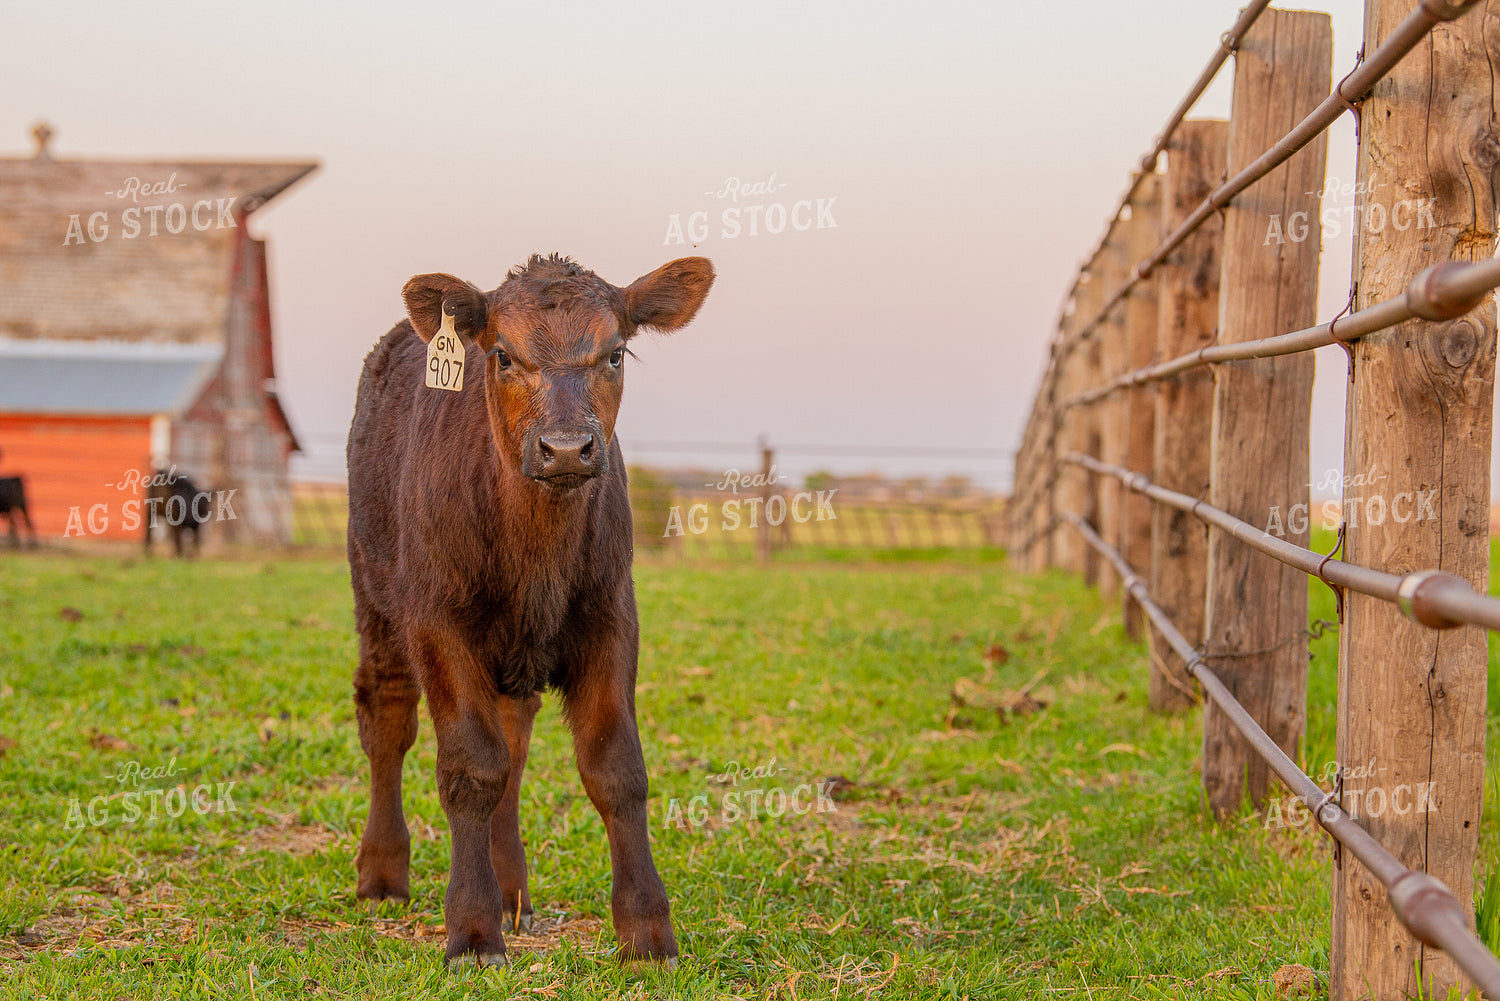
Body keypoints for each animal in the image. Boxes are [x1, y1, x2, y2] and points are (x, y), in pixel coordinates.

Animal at [346, 253, 714, 969]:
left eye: (615, 353)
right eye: (504, 356)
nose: (566, 448)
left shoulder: (611, 616)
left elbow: (614, 767)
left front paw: (647, 930)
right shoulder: (437, 620)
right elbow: (470, 765)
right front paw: (472, 930)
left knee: (513, 742)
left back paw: (513, 890)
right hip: (374, 594)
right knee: (388, 716)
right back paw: (383, 873)